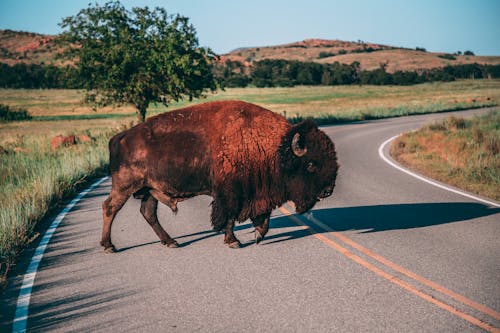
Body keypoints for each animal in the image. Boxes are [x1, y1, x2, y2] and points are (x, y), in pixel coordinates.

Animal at [100, 100, 336, 250]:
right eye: (311, 164)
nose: (327, 191)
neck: (274, 147)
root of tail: (119, 137)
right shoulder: (231, 192)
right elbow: (229, 217)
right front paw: (234, 242)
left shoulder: (258, 191)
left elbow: (263, 216)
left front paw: (258, 235)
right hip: (125, 186)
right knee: (110, 207)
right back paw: (109, 246)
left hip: (150, 189)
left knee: (148, 213)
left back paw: (171, 242)